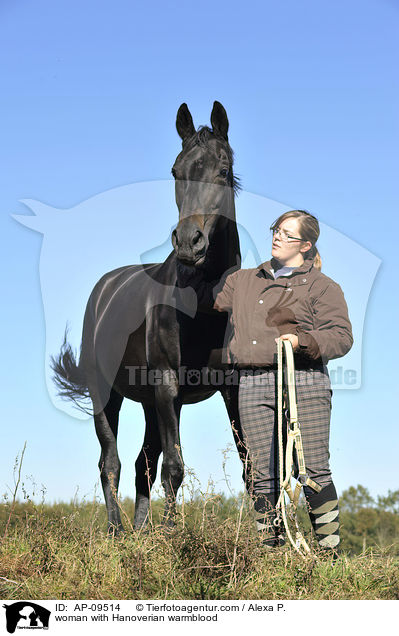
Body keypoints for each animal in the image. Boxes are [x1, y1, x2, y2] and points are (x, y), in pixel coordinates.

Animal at [52, 102, 247, 536]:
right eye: (176, 170)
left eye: (223, 170)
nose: (189, 242)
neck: (204, 305)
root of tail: (104, 289)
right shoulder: (167, 385)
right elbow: (174, 468)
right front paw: (174, 537)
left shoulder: (231, 387)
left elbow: (250, 461)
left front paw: (273, 535)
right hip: (109, 394)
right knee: (111, 461)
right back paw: (116, 532)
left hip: (148, 402)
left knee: (144, 462)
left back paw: (140, 534)